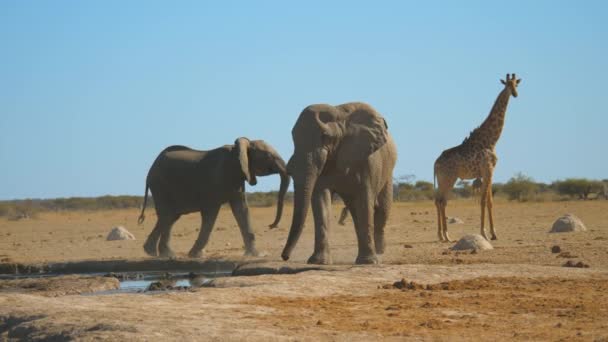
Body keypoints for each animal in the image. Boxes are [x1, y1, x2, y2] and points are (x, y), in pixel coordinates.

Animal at [138, 138, 290, 258]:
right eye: (269, 156)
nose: (270, 225)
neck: (238, 149)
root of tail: (150, 170)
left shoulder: (238, 177)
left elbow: (241, 210)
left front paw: (256, 255)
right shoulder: (217, 181)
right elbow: (211, 214)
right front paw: (195, 255)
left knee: (170, 217)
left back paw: (154, 253)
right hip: (160, 185)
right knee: (168, 216)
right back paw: (166, 255)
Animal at [282, 103, 396, 266]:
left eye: (325, 137)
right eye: (293, 137)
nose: (285, 257)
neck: (341, 117)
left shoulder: (366, 159)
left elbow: (365, 198)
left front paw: (368, 262)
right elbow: (321, 201)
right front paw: (318, 262)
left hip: (387, 172)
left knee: (382, 209)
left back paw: (380, 252)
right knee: (355, 211)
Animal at [432, 73, 524, 242]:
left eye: (516, 84)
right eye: (507, 84)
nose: (515, 94)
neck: (491, 140)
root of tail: (435, 163)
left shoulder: (489, 172)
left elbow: (489, 201)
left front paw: (494, 233)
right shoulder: (488, 169)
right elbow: (482, 201)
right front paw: (484, 233)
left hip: (443, 179)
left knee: (438, 201)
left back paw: (442, 235)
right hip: (449, 178)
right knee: (442, 201)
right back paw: (446, 235)